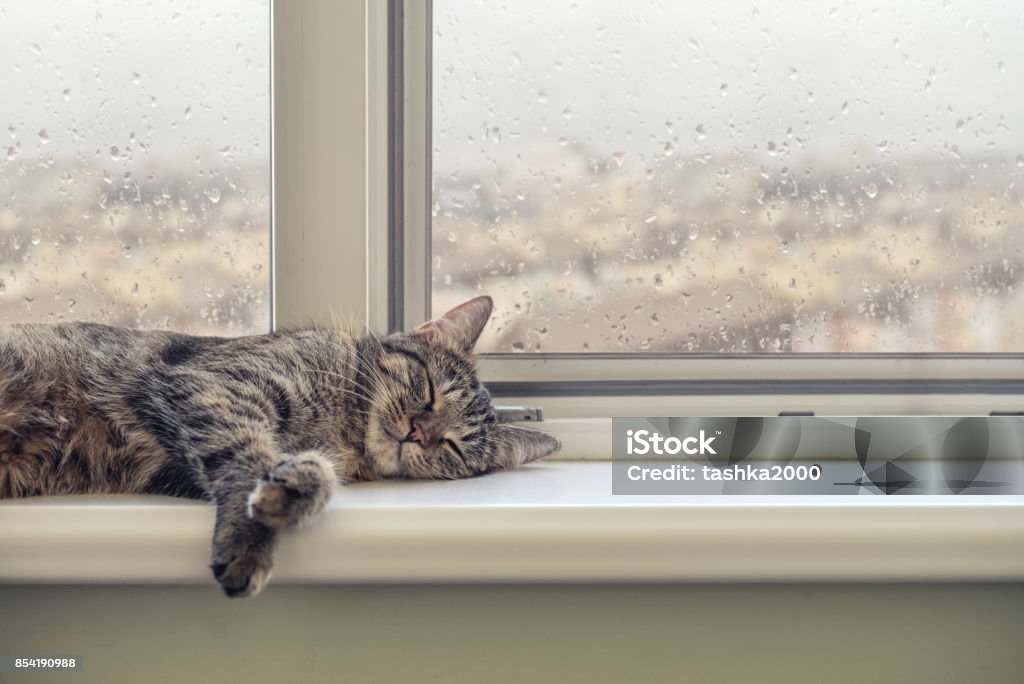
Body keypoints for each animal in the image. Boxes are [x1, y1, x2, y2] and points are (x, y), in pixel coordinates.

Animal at [0, 296, 561, 593]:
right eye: (427, 388)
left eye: (454, 447)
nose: (418, 432)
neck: (343, 428)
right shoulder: (215, 386)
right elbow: (247, 449)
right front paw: (250, 539)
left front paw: (297, 484)